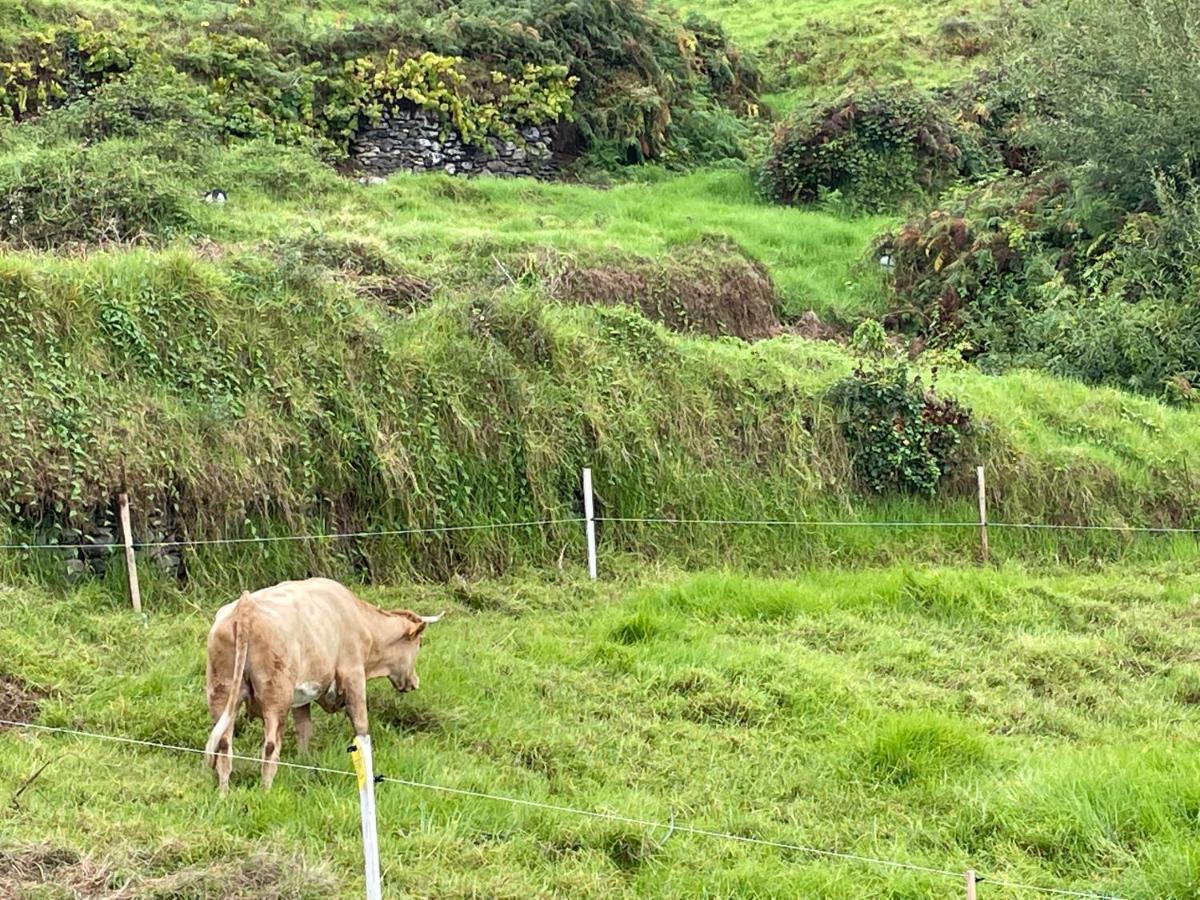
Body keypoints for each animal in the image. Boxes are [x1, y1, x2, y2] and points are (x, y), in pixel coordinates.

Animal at [204, 580, 444, 792]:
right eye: (419, 643)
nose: (415, 682)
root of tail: (246, 608)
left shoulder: (300, 696)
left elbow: (304, 730)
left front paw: (303, 762)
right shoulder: (354, 675)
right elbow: (361, 725)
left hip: (222, 692)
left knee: (224, 746)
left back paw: (224, 793)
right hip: (276, 698)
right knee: (270, 746)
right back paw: (266, 791)